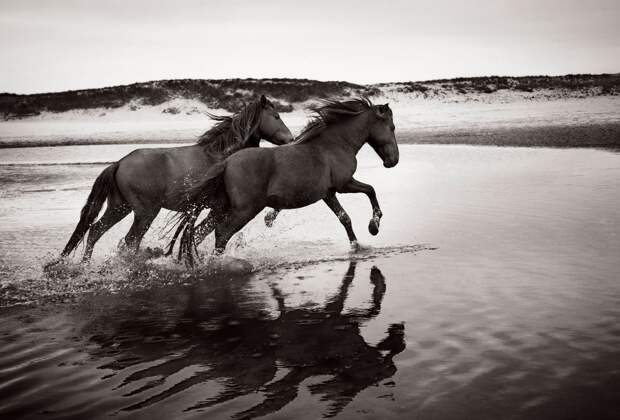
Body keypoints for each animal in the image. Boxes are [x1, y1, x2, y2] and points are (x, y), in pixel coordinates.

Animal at [55, 94, 294, 262]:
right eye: (276, 116)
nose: (291, 139)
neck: (223, 156)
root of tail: (120, 163)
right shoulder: (221, 207)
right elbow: (209, 232)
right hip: (145, 212)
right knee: (130, 240)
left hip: (119, 207)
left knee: (95, 231)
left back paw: (86, 265)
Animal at [174, 98, 400, 262]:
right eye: (392, 127)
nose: (393, 161)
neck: (334, 144)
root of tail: (227, 162)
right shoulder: (344, 184)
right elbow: (370, 190)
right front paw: (374, 226)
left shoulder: (329, 193)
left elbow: (345, 218)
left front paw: (356, 245)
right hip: (244, 210)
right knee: (221, 233)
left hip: (222, 208)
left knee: (199, 232)